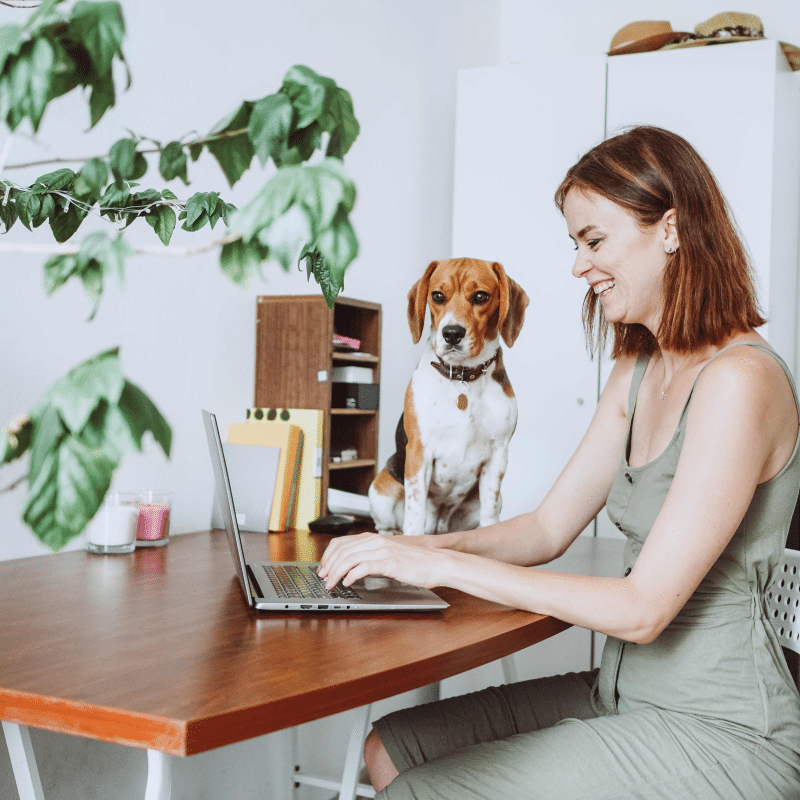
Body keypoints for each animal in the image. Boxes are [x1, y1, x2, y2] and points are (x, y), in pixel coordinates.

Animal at [370, 260, 532, 536]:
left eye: (480, 296)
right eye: (437, 296)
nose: (452, 333)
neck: (463, 378)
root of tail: (439, 525)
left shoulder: (498, 454)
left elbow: (489, 511)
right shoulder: (419, 451)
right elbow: (415, 510)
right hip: (381, 490)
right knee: (386, 525)